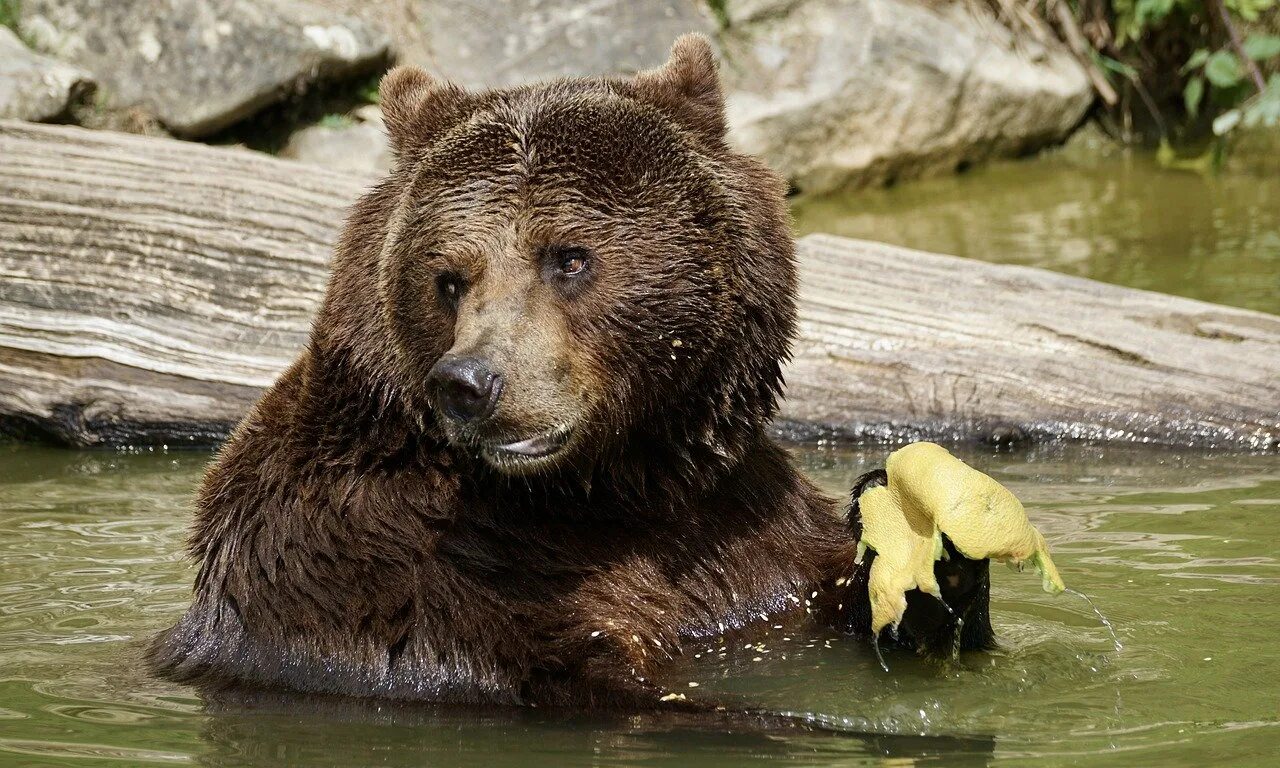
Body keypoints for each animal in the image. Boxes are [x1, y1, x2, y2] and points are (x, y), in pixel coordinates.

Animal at [147, 34, 988, 706]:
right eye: (448, 277)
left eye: (569, 256)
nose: (470, 384)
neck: (612, 488)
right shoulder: (379, 571)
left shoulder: (745, 527)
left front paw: (932, 556)